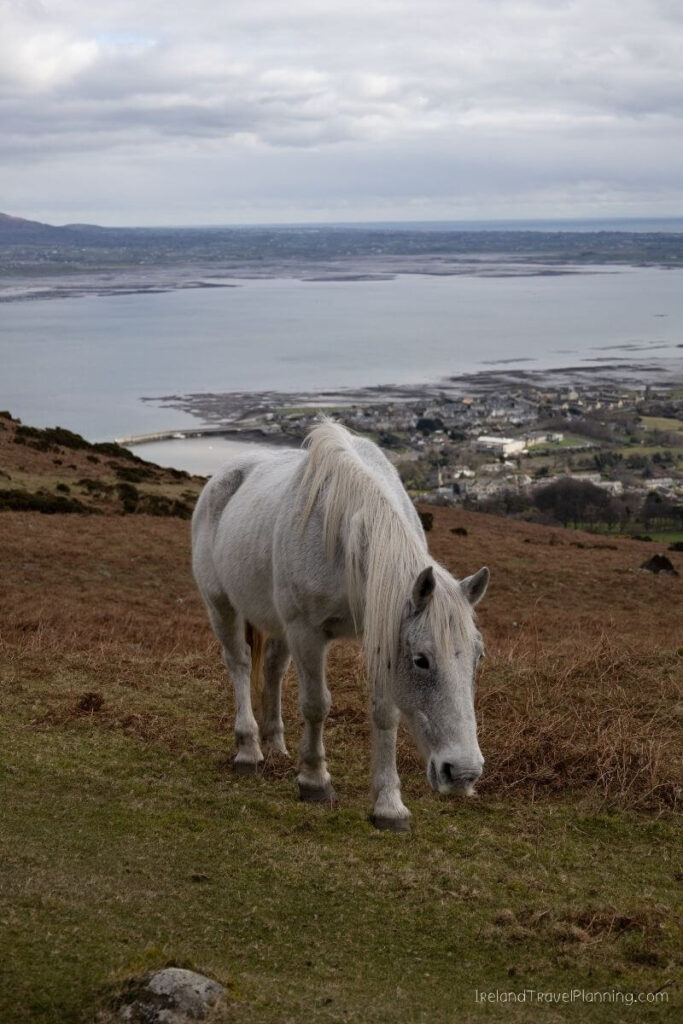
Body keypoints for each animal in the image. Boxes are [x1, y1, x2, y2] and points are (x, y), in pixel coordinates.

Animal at [191, 420, 489, 831]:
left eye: (478, 658)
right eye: (421, 660)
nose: (462, 773)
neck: (346, 539)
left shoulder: (380, 631)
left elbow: (385, 714)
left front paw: (389, 805)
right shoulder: (307, 633)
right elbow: (316, 704)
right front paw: (315, 782)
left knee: (272, 670)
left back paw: (277, 746)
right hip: (222, 605)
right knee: (239, 664)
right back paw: (249, 750)